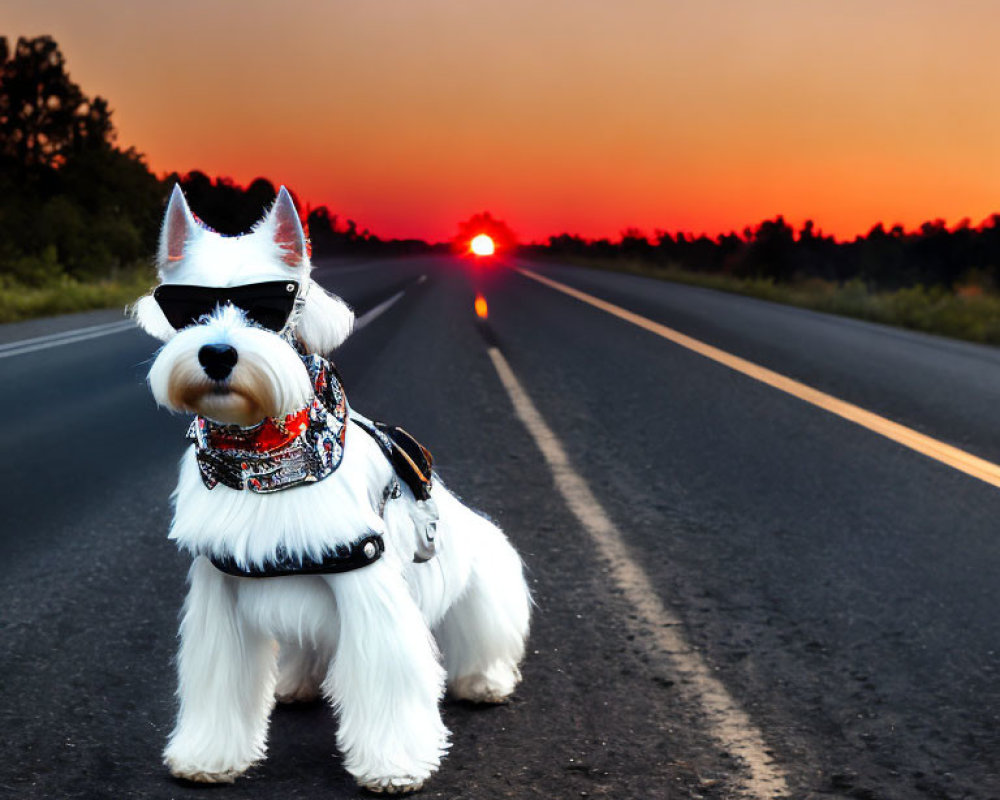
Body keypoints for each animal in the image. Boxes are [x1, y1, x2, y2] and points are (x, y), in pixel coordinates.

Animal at [137, 188, 536, 792]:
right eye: (190, 310)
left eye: (268, 308)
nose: (218, 355)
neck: (264, 463)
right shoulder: (220, 587)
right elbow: (217, 681)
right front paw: (208, 756)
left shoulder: (365, 583)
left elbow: (387, 681)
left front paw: (393, 765)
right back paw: (292, 685)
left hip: (481, 588)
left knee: (483, 640)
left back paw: (484, 682)